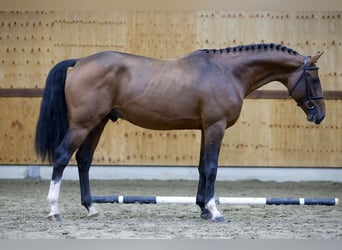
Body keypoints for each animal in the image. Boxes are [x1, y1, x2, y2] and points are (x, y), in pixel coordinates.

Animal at [35, 43, 326, 223]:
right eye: (313, 78)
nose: (319, 115)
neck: (227, 72)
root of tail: (80, 62)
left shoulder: (206, 128)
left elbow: (202, 167)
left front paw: (203, 209)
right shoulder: (216, 126)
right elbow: (212, 168)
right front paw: (214, 211)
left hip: (98, 123)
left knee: (84, 160)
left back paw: (92, 208)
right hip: (82, 124)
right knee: (62, 157)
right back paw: (54, 210)